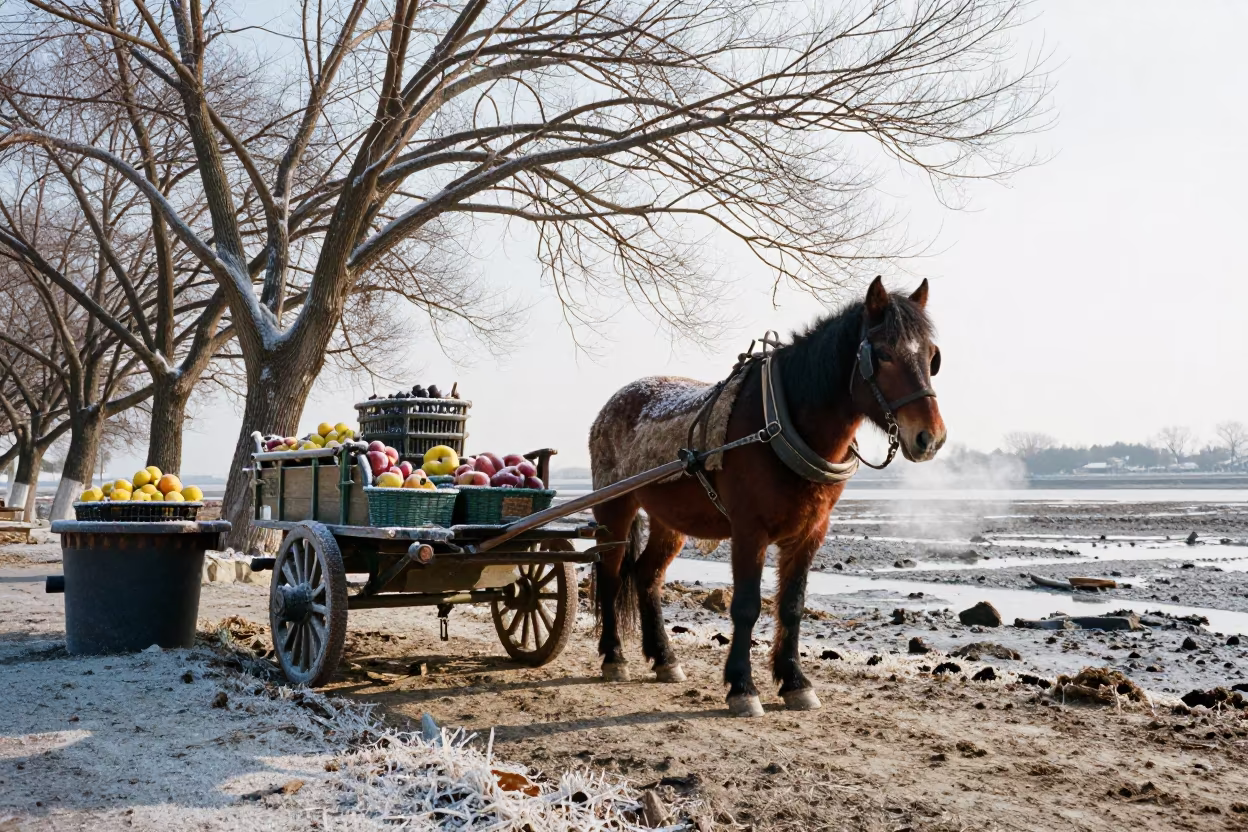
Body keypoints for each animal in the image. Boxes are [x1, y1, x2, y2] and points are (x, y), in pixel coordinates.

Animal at [588, 277, 946, 717]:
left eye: (932, 356)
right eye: (881, 354)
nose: (929, 438)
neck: (777, 423)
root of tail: (616, 402)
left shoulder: (810, 533)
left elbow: (791, 606)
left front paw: (794, 682)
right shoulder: (749, 531)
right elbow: (746, 606)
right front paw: (742, 687)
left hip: (669, 522)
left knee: (646, 577)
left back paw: (664, 659)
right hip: (614, 508)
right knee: (609, 576)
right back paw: (614, 657)